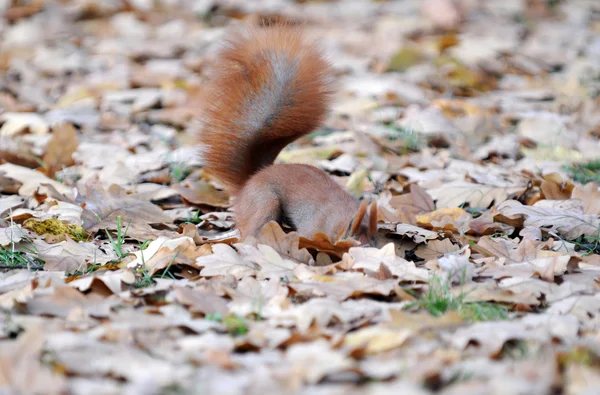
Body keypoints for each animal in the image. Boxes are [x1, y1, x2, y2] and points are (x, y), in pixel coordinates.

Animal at [197, 24, 378, 244]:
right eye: (353, 240)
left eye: (377, 238)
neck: (339, 220)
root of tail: (251, 180)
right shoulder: (313, 229)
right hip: (265, 202)